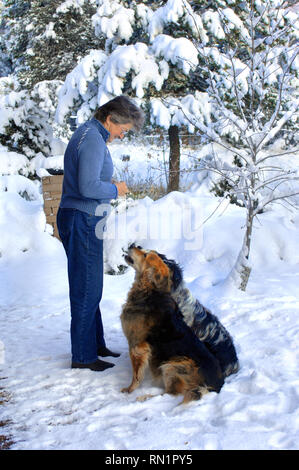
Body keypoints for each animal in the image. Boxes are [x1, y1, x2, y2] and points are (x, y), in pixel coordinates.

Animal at [120, 246, 224, 404]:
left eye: (145, 255)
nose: (132, 245)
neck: (150, 290)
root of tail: (217, 386)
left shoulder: (137, 345)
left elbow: (136, 375)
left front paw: (129, 390)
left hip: (174, 364)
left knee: (171, 394)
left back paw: (145, 397)